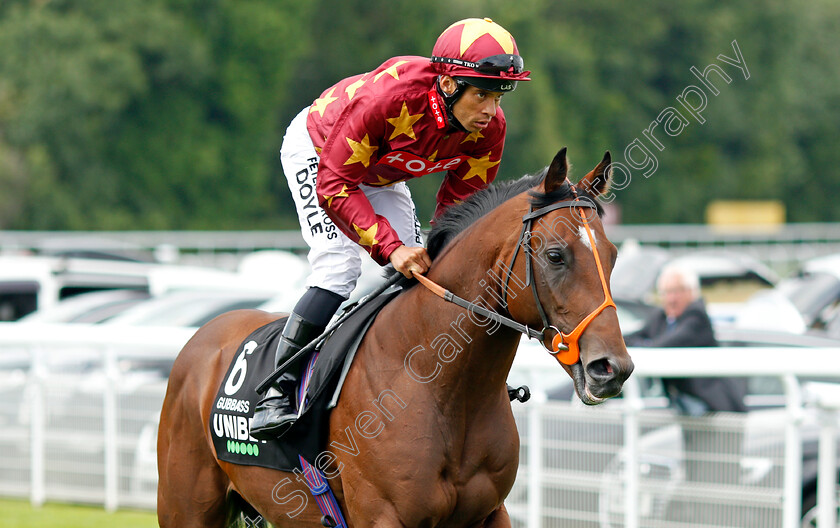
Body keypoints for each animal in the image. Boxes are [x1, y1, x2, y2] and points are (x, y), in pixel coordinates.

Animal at [158, 148, 632, 528]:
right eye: (555, 255)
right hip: (185, 507)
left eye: (613, 257)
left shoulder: (489, 514)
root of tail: (204, 335)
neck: (439, 384)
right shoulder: (383, 516)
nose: (612, 368)